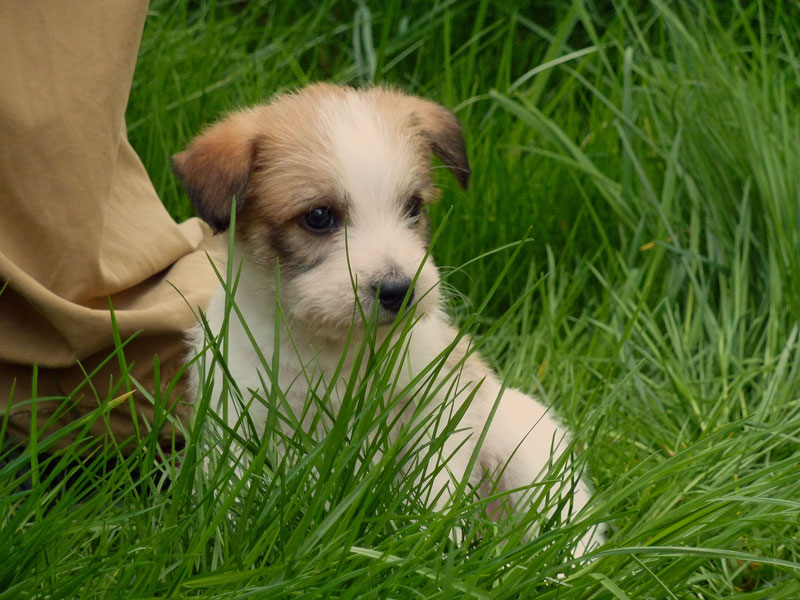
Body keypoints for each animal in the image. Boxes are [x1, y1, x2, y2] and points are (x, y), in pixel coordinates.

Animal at [173, 83, 601, 554]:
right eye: (318, 216)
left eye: (413, 207)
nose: (399, 291)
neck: (339, 349)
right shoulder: (239, 418)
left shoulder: (436, 413)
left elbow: (432, 489)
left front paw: (427, 542)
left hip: (527, 454)